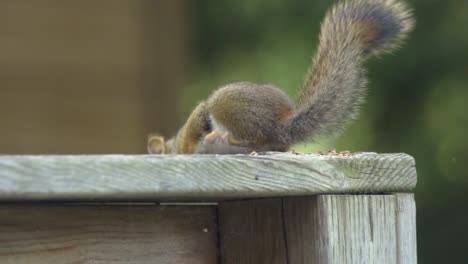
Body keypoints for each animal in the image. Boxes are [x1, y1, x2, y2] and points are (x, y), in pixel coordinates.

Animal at [148, 0, 414, 155]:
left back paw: (225, 139)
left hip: (228, 103)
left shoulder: (195, 123)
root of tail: (281, 126)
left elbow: (193, 128)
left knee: (256, 140)